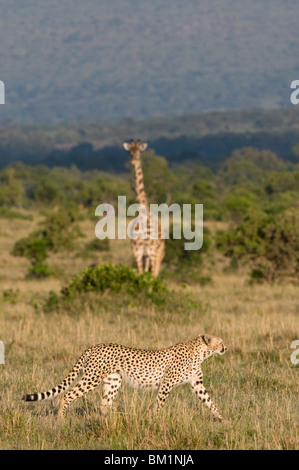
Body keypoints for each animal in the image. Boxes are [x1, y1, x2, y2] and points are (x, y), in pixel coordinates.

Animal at [21, 332, 227, 420]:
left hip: (113, 381)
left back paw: (110, 421)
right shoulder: (166, 384)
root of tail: (93, 346)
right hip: (92, 378)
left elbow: (210, 401)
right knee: (67, 395)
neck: (201, 351)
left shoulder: (197, 384)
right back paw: (60, 420)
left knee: (104, 404)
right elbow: (159, 404)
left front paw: (222, 419)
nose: (226, 348)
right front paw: (155, 420)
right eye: (221, 342)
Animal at [124, 140, 166, 276]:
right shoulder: (137, 252)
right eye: (130, 152)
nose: (133, 162)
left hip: (159, 253)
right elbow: (140, 274)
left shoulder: (152, 252)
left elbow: (151, 276)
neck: (143, 214)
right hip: (146, 256)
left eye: (139, 152)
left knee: (156, 273)